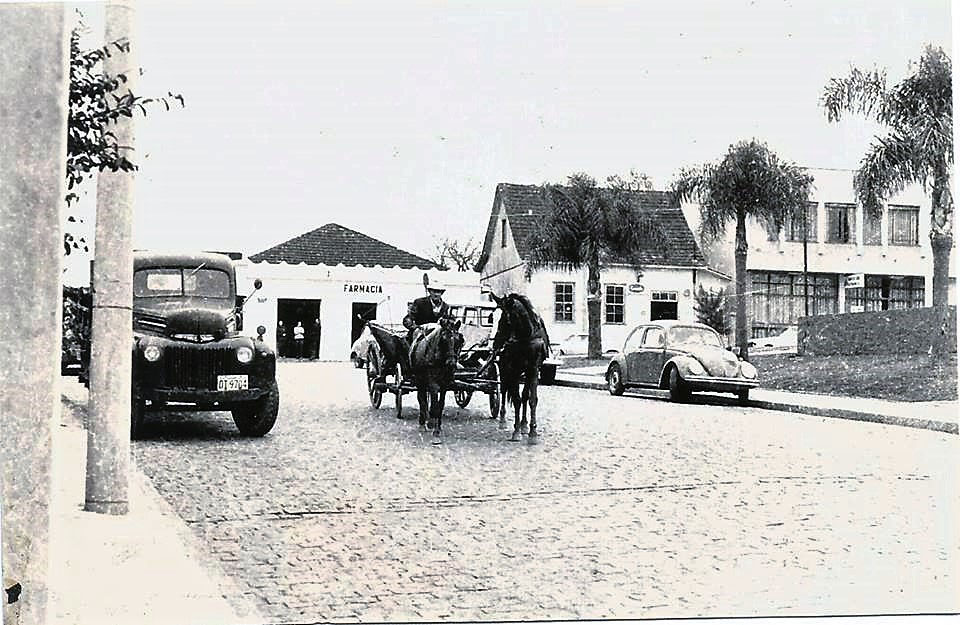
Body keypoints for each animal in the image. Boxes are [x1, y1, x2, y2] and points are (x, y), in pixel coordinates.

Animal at [406, 316, 464, 444]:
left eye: (458, 340)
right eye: (443, 340)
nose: (451, 363)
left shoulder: (445, 385)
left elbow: (440, 405)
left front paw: (438, 428)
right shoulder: (433, 384)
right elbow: (434, 405)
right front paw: (433, 426)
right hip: (419, 380)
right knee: (421, 398)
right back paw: (423, 423)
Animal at [492, 292, 552, 442]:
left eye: (506, 321)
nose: (496, 345)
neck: (526, 336)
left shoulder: (533, 369)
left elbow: (531, 399)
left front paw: (532, 432)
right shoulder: (512, 370)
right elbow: (516, 400)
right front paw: (516, 431)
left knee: (524, 395)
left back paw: (524, 424)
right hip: (504, 369)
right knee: (503, 390)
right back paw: (503, 420)